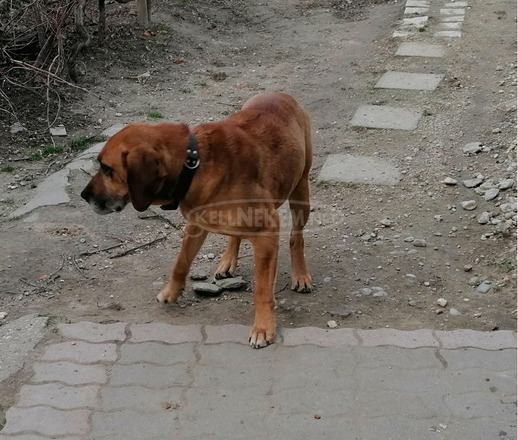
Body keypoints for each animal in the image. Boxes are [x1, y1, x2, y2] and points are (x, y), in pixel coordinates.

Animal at [82, 92, 312, 348]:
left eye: (107, 169)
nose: (83, 195)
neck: (193, 164)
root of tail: (280, 94)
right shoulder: (195, 226)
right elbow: (181, 263)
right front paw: (171, 291)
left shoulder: (267, 232)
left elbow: (262, 290)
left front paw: (263, 327)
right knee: (236, 236)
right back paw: (228, 260)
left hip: (300, 193)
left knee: (296, 238)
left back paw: (300, 274)